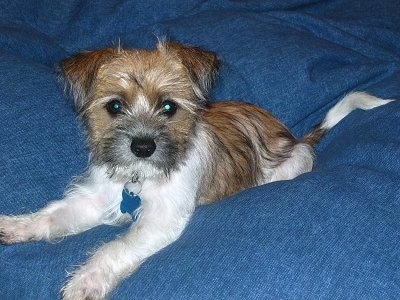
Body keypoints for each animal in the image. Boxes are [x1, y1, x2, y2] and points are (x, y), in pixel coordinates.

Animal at [0, 41, 392, 298]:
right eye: (114, 106)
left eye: (168, 107)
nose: (143, 146)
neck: (139, 179)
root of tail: (297, 139)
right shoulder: (94, 199)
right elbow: (52, 216)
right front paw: (16, 226)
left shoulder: (161, 219)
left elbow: (114, 247)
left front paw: (85, 282)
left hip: (288, 167)